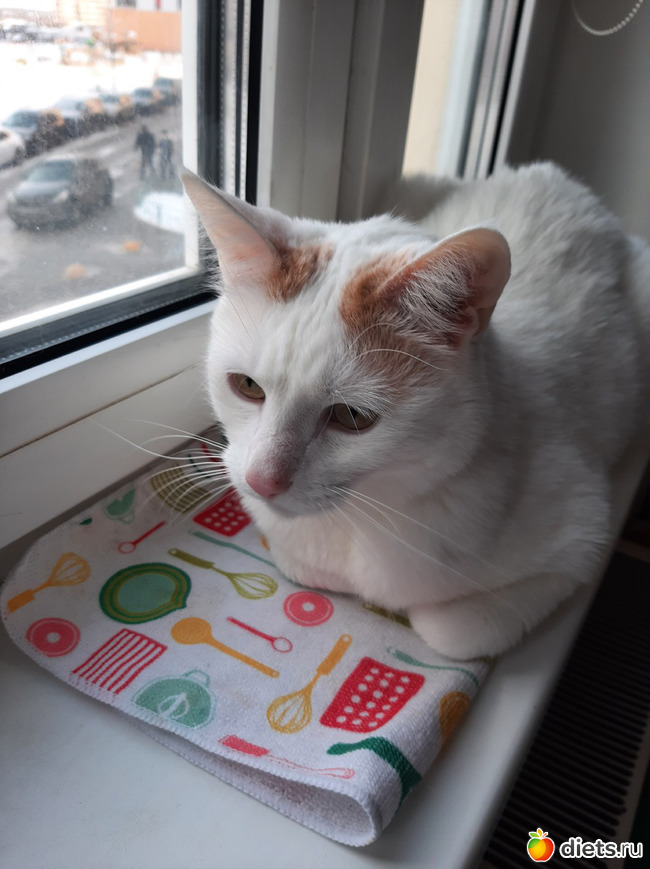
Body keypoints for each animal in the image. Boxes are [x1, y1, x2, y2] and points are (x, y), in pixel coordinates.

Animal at [181, 163, 650, 660]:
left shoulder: (583, 537)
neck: (361, 518)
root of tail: (556, 176)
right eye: (247, 386)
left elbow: (452, 631)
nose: (261, 481)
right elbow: (299, 562)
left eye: (352, 417)